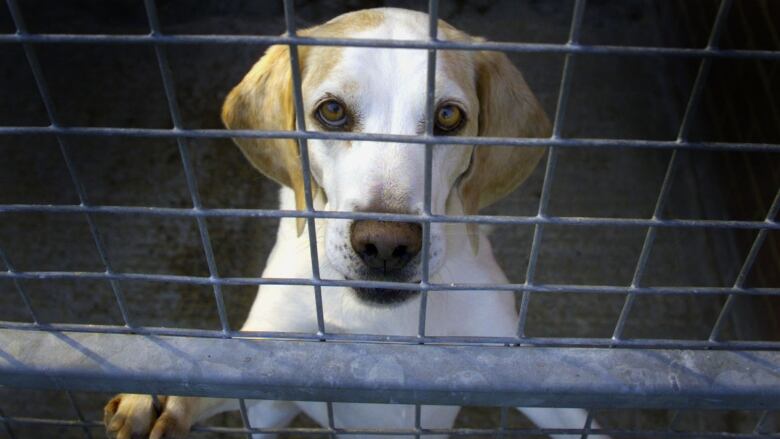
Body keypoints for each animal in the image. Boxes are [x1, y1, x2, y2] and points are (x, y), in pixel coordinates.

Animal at [103, 7, 608, 439]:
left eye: (448, 115)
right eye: (332, 111)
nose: (386, 245)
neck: (383, 325)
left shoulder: (529, 376)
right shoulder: (269, 375)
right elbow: (220, 371)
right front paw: (158, 396)